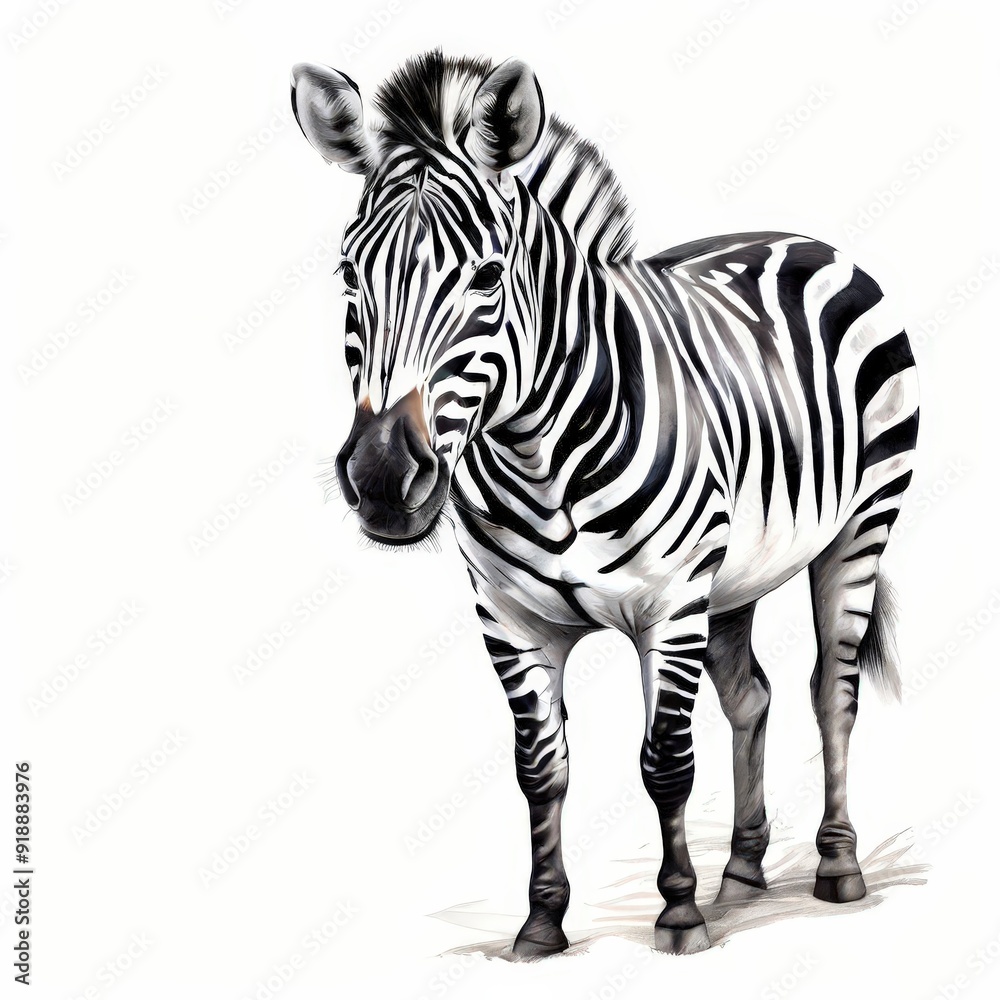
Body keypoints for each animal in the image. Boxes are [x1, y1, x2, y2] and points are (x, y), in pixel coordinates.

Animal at [290, 50, 919, 957]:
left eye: (489, 277)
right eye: (349, 275)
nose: (380, 477)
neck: (538, 460)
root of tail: (802, 237)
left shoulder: (670, 606)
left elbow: (665, 761)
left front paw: (680, 914)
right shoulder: (512, 621)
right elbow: (540, 769)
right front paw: (542, 921)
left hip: (858, 529)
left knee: (830, 694)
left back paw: (837, 867)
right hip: (735, 573)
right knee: (754, 698)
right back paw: (742, 872)